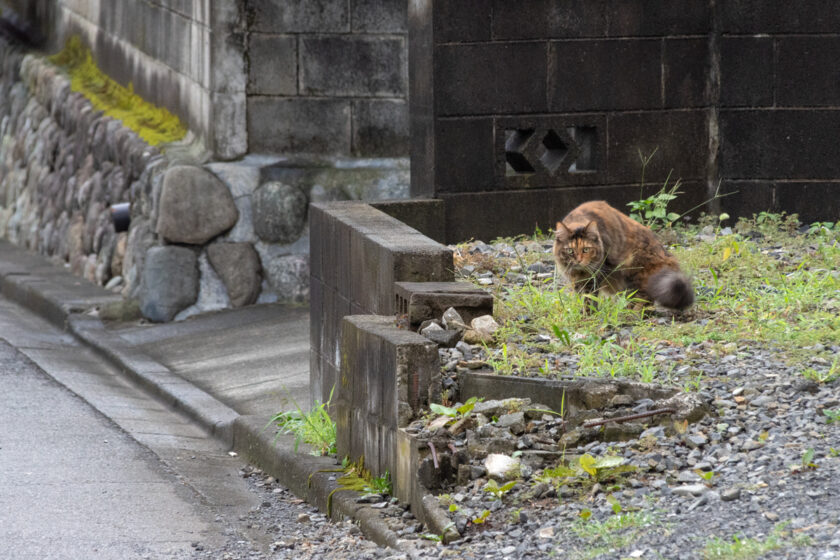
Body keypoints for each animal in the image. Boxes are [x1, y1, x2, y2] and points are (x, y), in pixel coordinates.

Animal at [552, 200, 696, 310]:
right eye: (570, 251)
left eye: (586, 249)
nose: (579, 260)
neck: (580, 272)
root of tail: (669, 259)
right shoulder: (576, 280)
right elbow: (581, 298)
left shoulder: (594, 277)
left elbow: (589, 299)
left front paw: (588, 315)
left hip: (634, 269)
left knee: (644, 299)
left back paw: (631, 314)